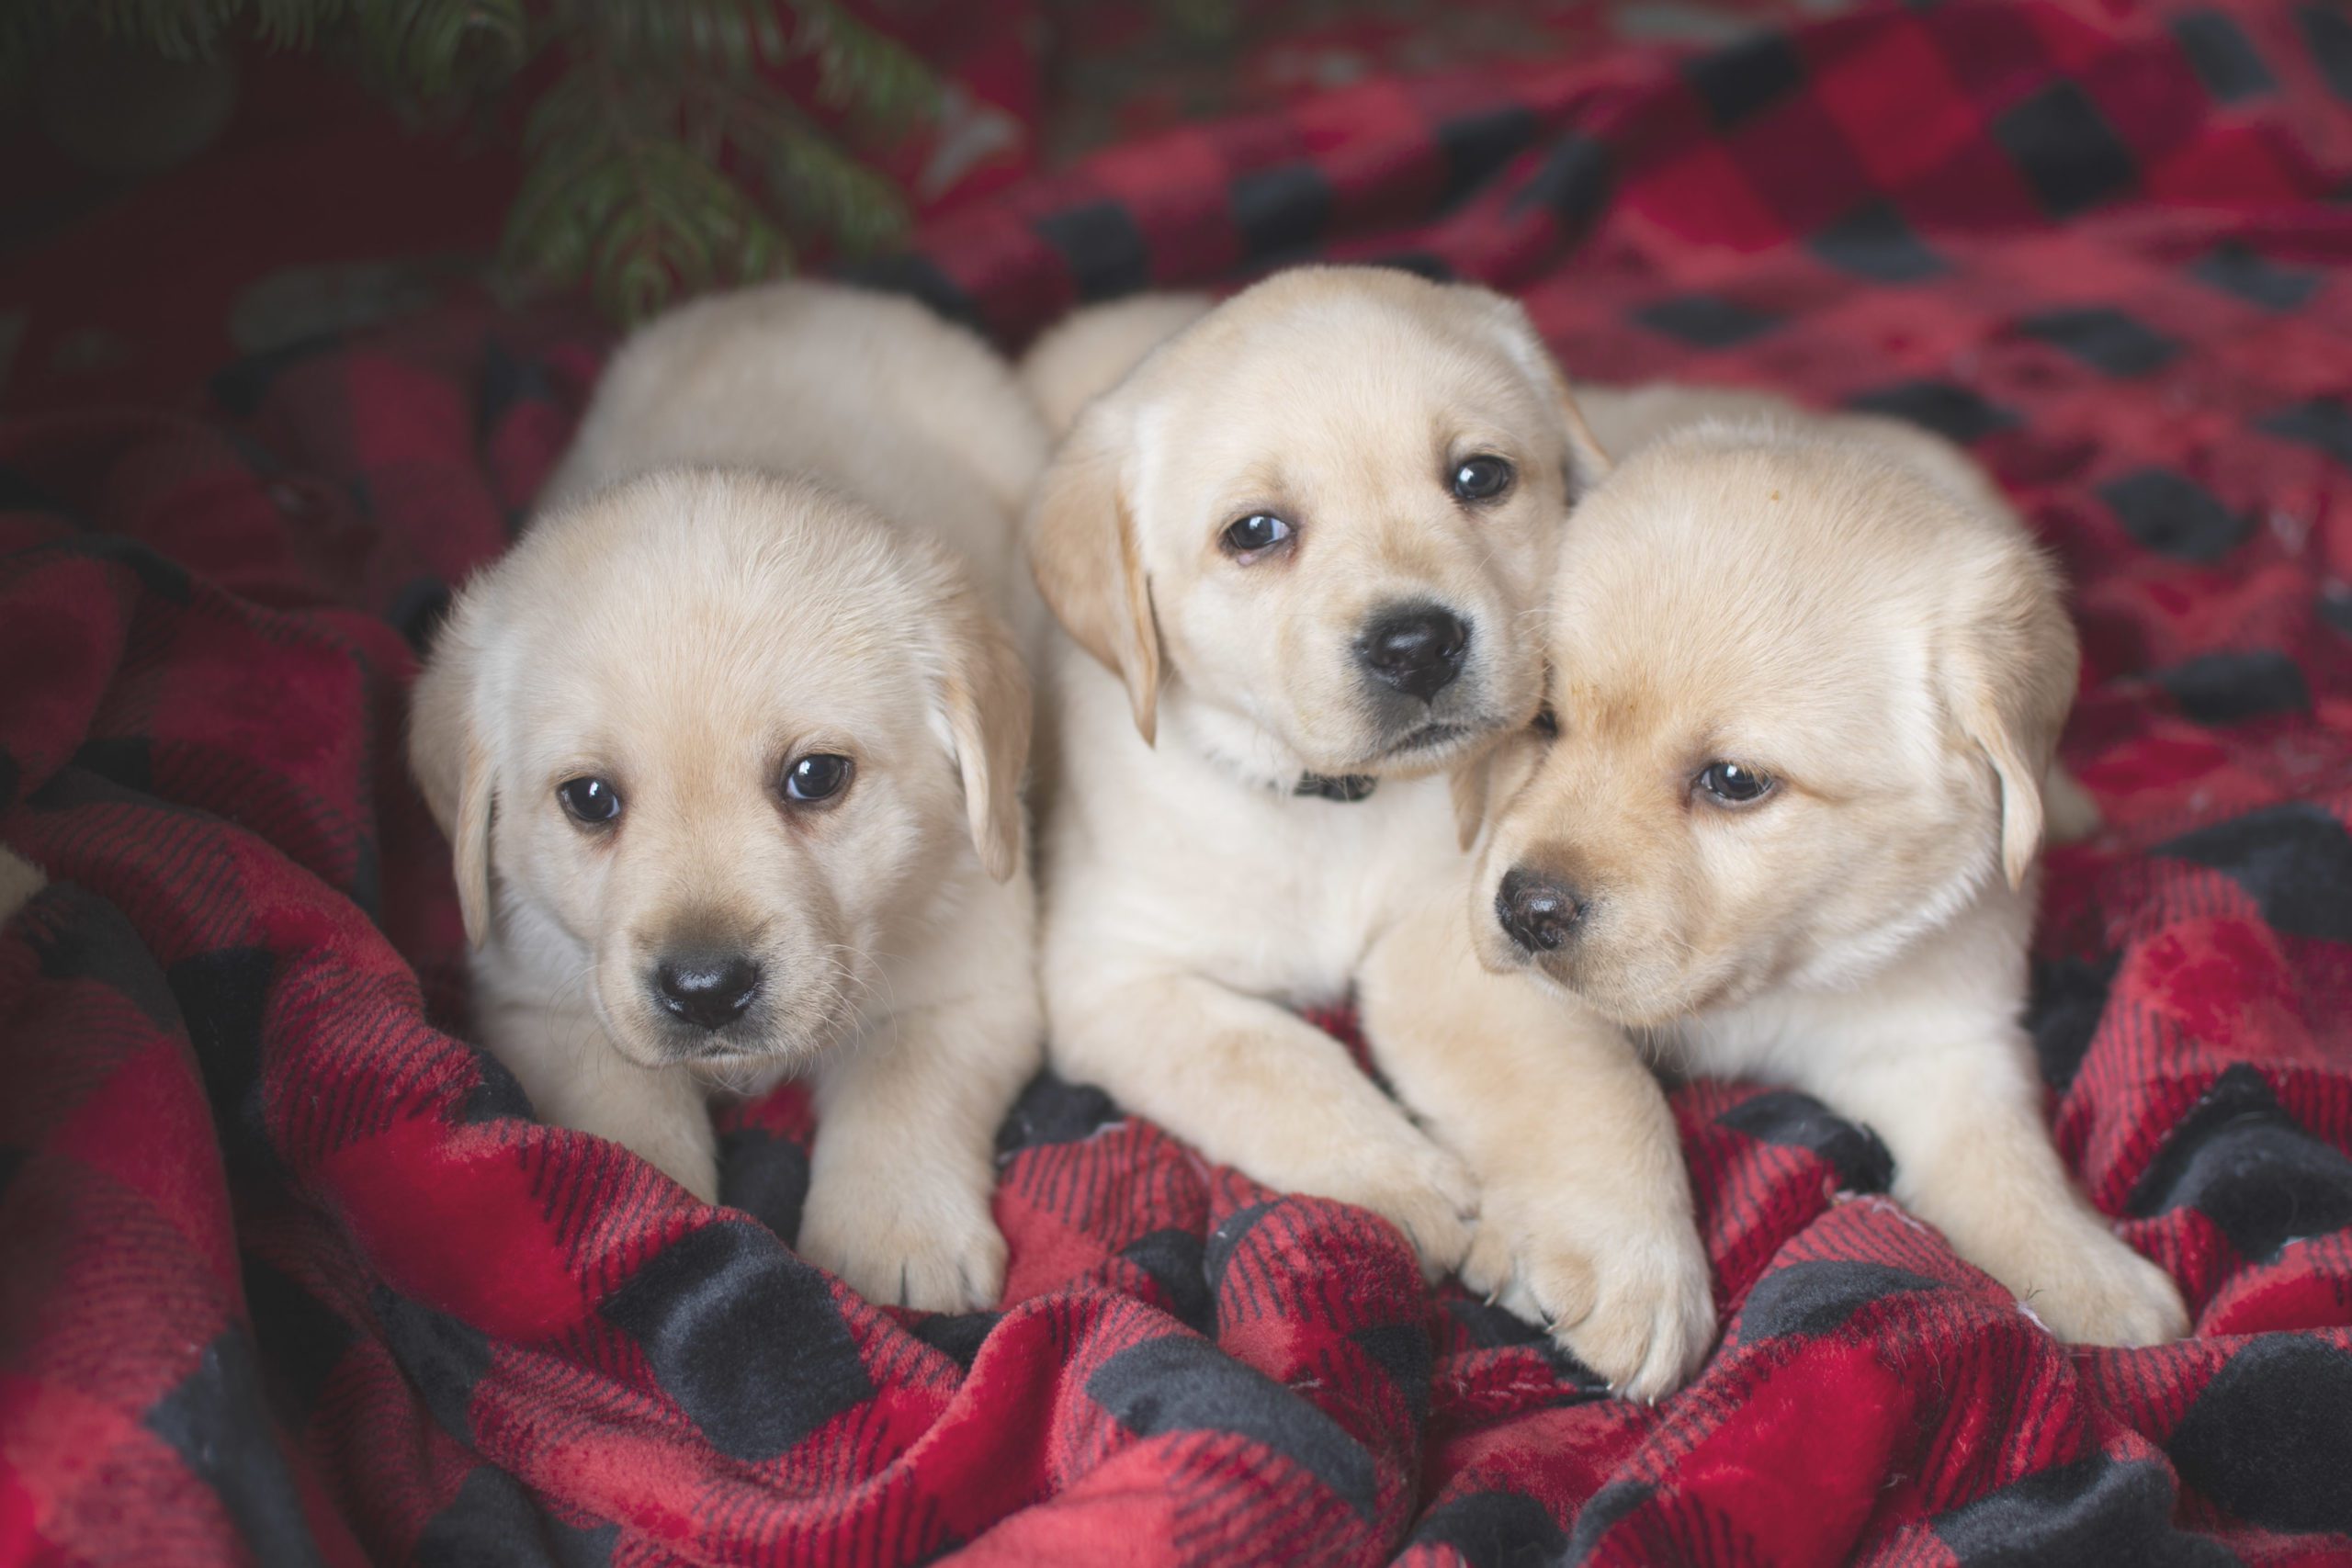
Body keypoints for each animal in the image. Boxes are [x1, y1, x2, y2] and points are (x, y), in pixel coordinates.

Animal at [409, 282, 1044, 1316]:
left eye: (816, 777)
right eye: (589, 798)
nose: (704, 989)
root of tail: (794, 290)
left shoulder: (975, 961)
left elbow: (905, 1080)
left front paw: (895, 1234)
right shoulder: (540, 996)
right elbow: (622, 1118)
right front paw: (650, 1214)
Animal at [1021, 270, 1721, 1401]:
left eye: (1480, 477)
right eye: (1255, 532)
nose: (1417, 643)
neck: (1329, 804)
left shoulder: (1461, 922)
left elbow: (1585, 1078)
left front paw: (1628, 1256)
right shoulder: (1111, 974)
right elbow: (1263, 1057)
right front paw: (1407, 1179)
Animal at [1458, 383, 2191, 1354]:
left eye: (1735, 781)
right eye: (1542, 720)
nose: (1527, 908)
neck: (1782, 972)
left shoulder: (1941, 1036)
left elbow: (2006, 1160)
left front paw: (2091, 1276)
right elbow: (1596, 1092)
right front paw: (1632, 1268)